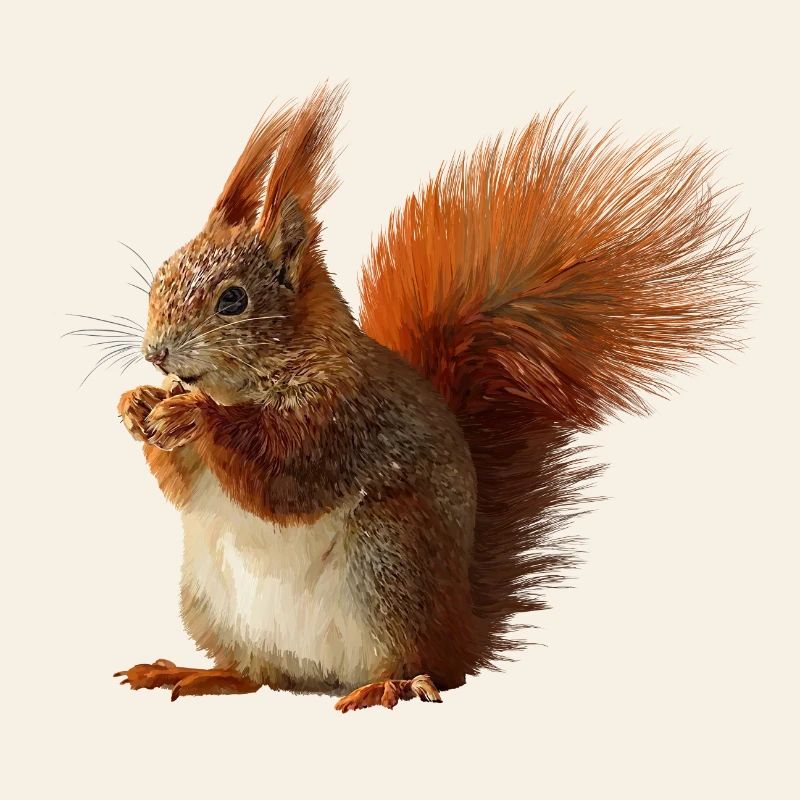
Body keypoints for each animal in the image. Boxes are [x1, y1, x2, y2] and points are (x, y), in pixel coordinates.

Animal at [110, 85, 749, 711]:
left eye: (233, 300)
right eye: (162, 273)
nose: (155, 353)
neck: (246, 385)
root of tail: (462, 626)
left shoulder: (343, 418)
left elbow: (283, 474)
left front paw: (194, 414)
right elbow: (183, 486)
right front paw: (137, 403)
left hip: (389, 560)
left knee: (428, 668)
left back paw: (389, 686)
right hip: (211, 600)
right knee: (259, 674)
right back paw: (197, 673)